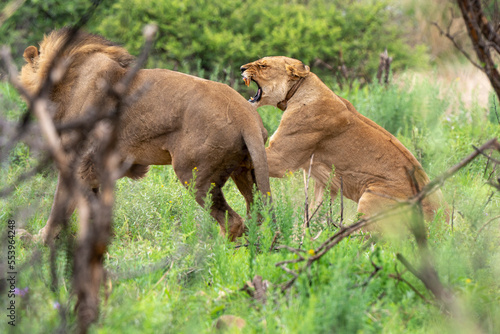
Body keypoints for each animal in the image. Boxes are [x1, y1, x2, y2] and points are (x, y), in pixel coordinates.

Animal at [19, 28, 272, 243]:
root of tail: (246, 116)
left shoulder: (76, 161)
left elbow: (59, 206)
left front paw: (38, 239)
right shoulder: (96, 167)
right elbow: (92, 208)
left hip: (194, 175)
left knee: (233, 222)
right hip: (245, 171)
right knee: (254, 216)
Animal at [241, 56, 446, 223]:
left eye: (263, 65)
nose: (242, 68)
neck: (297, 93)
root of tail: (440, 220)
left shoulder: (282, 159)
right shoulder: (324, 183)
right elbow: (315, 214)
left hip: (371, 197)